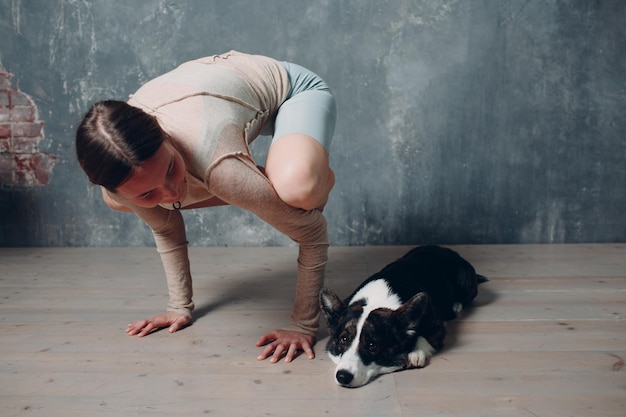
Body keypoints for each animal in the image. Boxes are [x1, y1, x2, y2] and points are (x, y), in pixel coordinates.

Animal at [320, 244, 486, 386]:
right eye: (344, 339)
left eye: (373, 345)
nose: (342, 376)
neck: (377, 301)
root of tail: (448, 250)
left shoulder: (437, 326)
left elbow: (423, 336)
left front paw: (415, 352)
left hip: (465, 283)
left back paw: (456, 304)